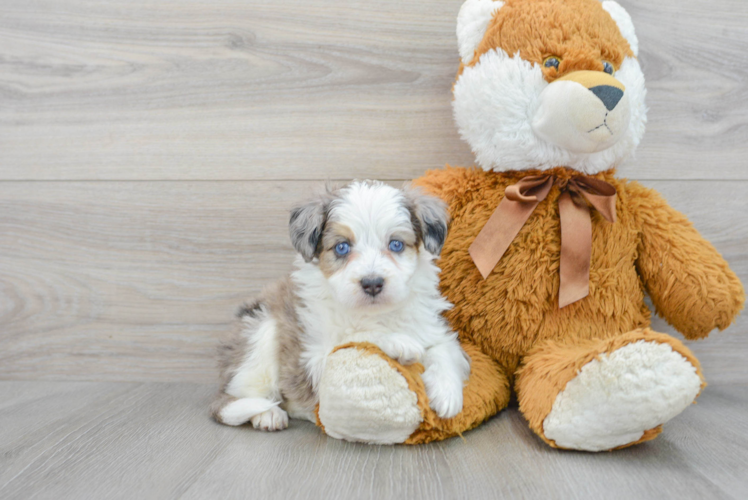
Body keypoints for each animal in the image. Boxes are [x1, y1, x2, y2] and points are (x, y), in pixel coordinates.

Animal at [209, 182, 468, 432]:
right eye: (342, 247)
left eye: (396, 244)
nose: (372, 283)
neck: (375, 312)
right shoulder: (315, 357)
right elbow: (356, 335)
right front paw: (398, 341)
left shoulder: (431, 327)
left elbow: (443, 349)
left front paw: (447, 393)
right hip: (260, 331)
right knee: (238, 394)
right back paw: (267, 414)